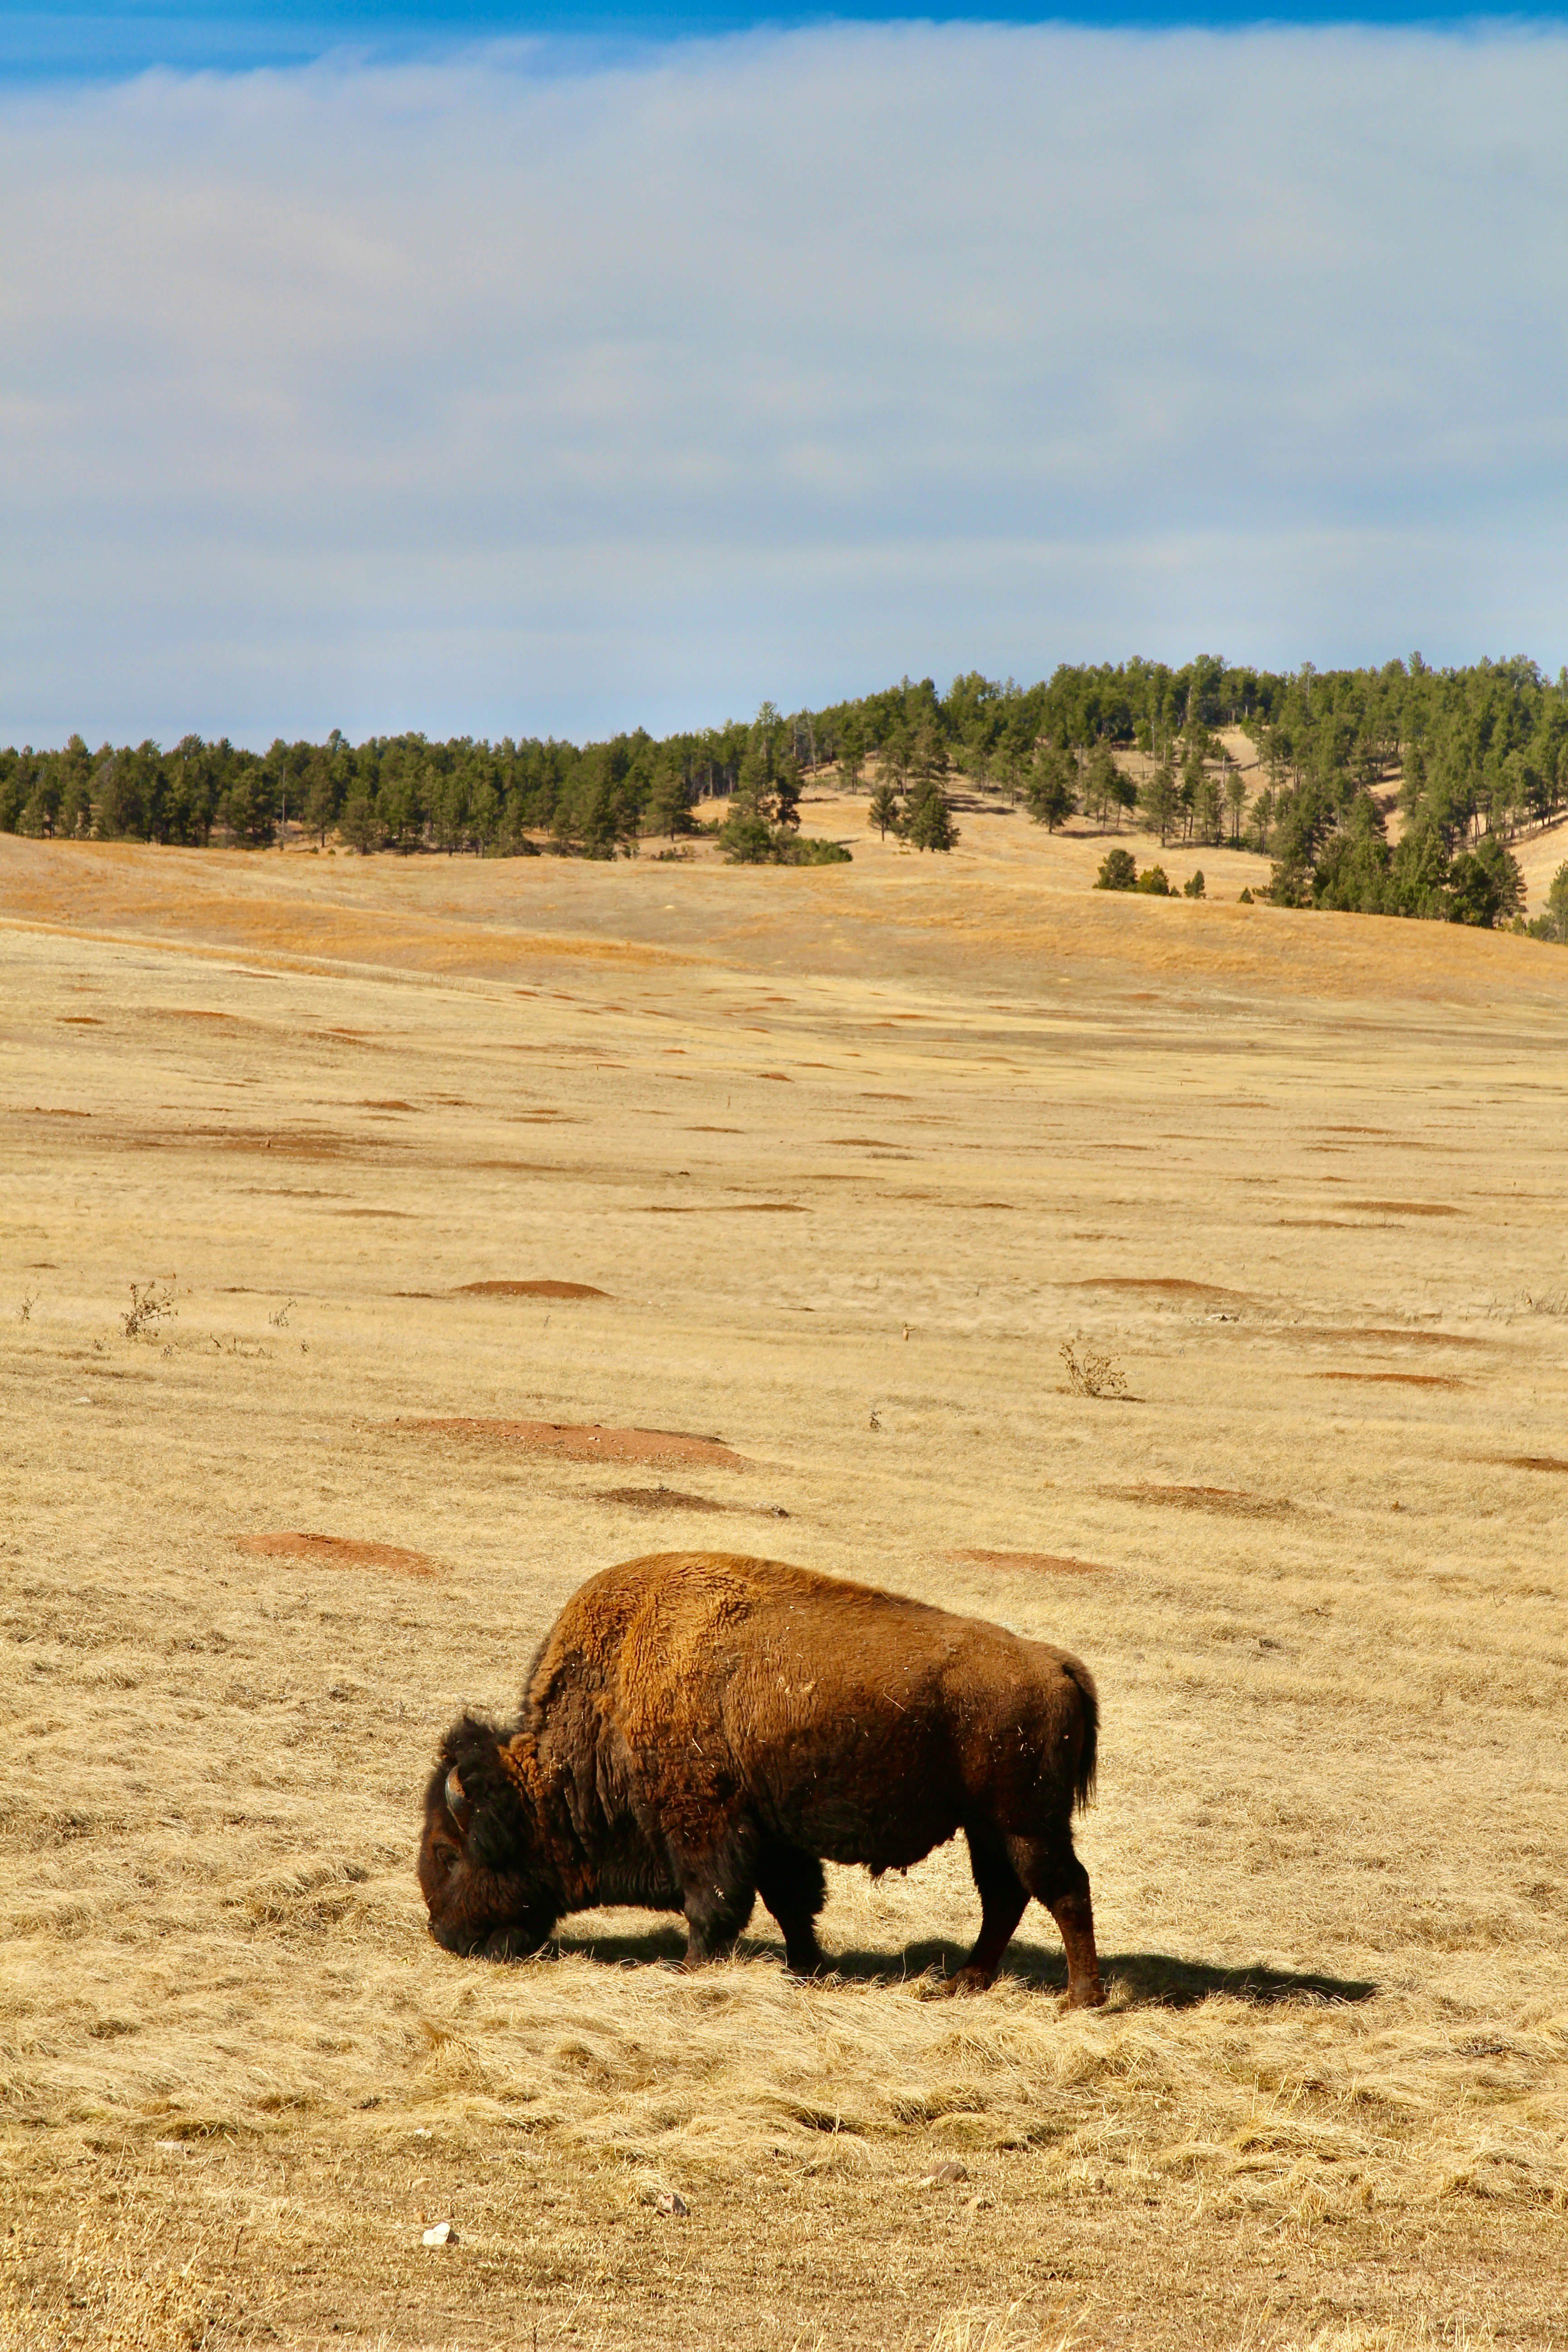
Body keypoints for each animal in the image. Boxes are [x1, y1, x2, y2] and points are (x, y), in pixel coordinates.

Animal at [416, 1543, 1105, 2004]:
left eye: (449, 1852)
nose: (444, 1935)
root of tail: (1056, 1664)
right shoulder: (770, 1835)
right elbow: (792, 1903)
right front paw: (807, 1968)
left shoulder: (703, 1825)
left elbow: (714, 1903)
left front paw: (690, 1968)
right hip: (987, 1826)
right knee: (1006, 1896)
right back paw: (965, 1981)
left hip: (1025, 1822)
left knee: (1064, 1889)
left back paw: (1080, 1999)